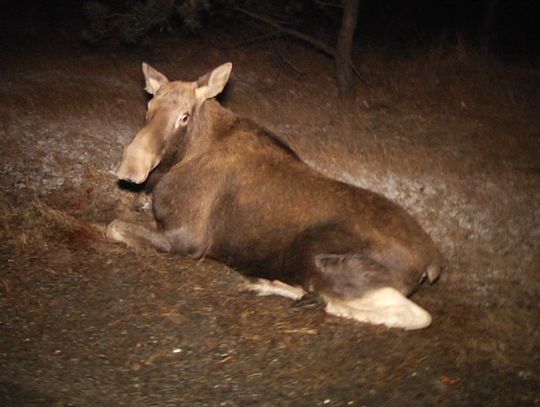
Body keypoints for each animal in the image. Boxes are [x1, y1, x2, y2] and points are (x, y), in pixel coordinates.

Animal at [107, 63, 440, 332]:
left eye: (184, 117)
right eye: (149, 107)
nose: (131, 169)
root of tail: (431, 263)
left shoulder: (188, 238)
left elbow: (114, 227)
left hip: (321, 262)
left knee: (416, 316)